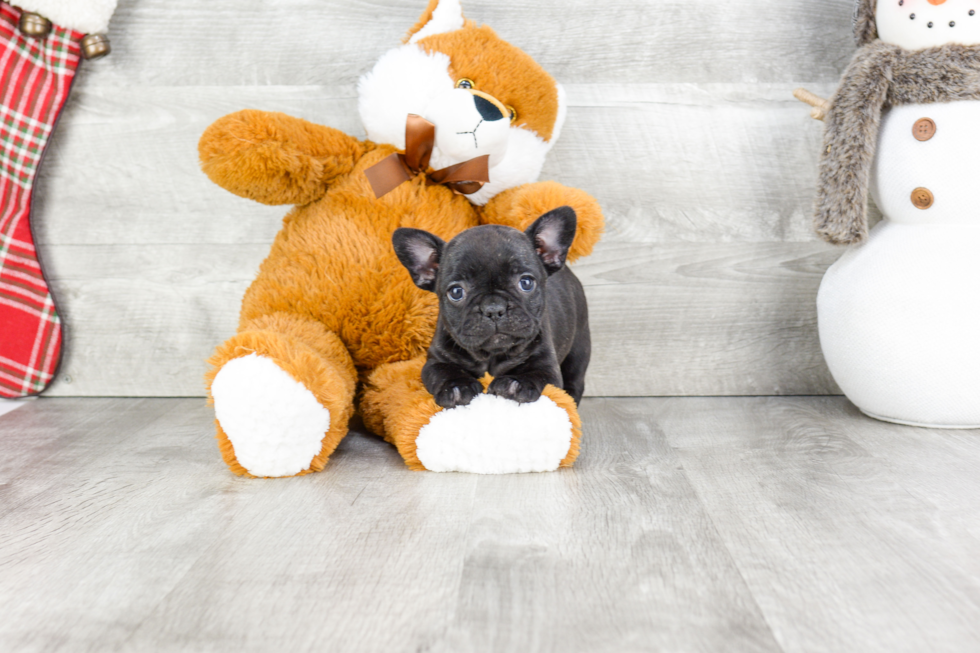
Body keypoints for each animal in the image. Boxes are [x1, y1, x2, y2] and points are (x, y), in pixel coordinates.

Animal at [392, 206, 588, 408]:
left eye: (526, 282)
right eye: (456, 292)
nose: (493, 308)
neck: (492, 355)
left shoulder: (547, 365)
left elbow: (535, 374)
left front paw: (514, 384)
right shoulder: (435, 361)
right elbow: (444, 372)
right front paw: (457, 387)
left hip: (579, 349)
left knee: (575, 380)